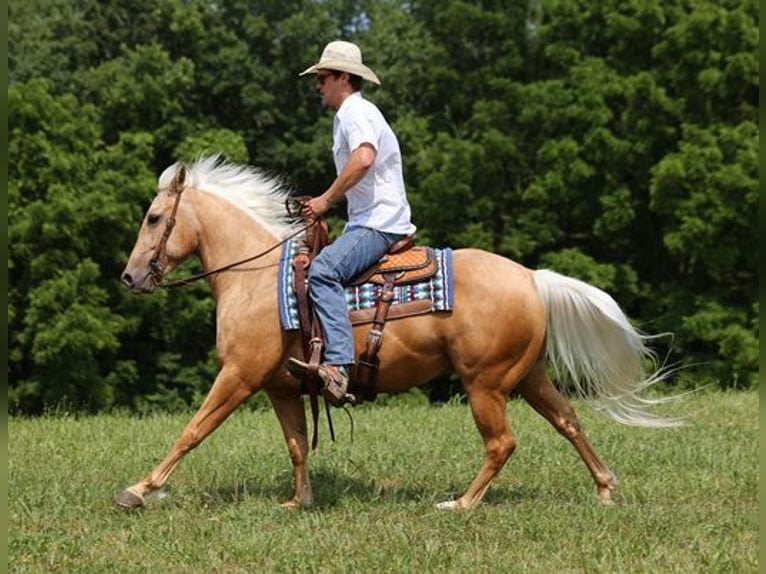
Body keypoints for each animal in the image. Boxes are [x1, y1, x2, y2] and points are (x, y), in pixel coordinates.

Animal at [117, 155, 680, 510]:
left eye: (154, 217)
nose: (130, 276)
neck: (254, 279)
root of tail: (531, 278)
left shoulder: (239, 375)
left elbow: (192, 430)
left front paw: (141, 490)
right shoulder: (281, 387)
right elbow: (297, 445)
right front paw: (299, 501)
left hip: (485, 384)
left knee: (502, 442)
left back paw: (461, 503)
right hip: (528, 377)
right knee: (568, 421)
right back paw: (604, 489)